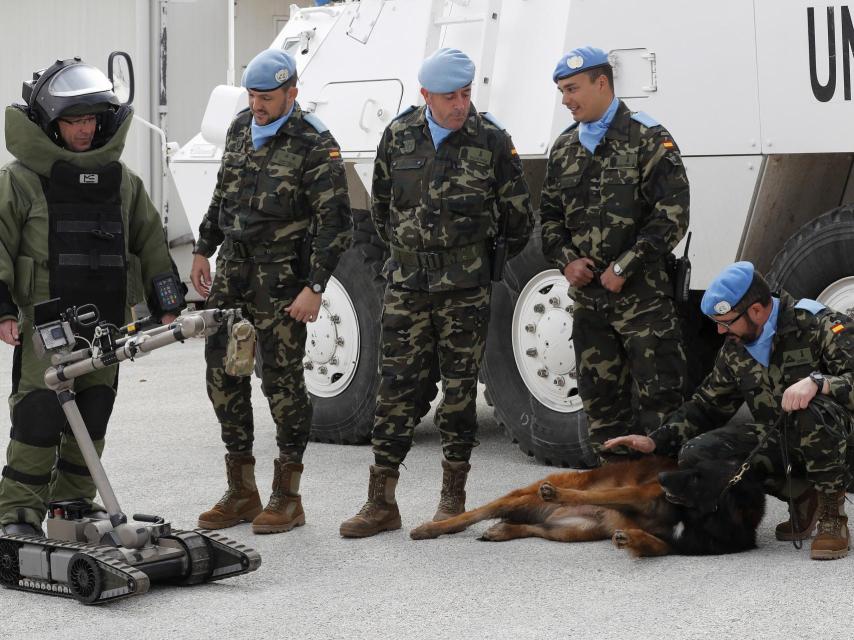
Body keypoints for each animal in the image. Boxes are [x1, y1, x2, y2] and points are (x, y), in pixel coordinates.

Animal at [410, 456, 768, 556]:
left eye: (696, 476)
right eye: (691, 467)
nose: (662, 476)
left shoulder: (674, 545)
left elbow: (656, 544)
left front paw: (631, 539)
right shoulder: (637, 494)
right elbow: (597, 495)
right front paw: (559, 493)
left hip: (571, 532)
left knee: (533, 528)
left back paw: (503, 530)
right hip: (521, 498)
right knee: (475, 513)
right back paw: (430, 528)